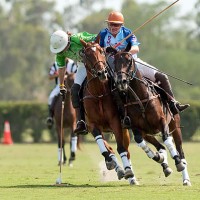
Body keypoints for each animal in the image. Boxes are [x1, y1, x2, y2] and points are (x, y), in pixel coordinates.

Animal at [79, 39, 138, 184]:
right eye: (87, 55)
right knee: (109, 148)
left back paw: (131, 176)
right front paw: (111, 163)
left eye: (101, 51)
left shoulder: (115, 121)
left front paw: (128, 172)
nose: (102, 72)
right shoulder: (92, 125)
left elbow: (121, 148)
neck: (98, 93)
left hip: (124, 129)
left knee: (127, 150)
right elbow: (105, 148)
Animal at [111, 49, 191, 186]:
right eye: (114, 62)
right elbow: (140, 142)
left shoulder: (162, 122)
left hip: (175, 126)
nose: (121, 82)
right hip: (148, 132)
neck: (140, 98)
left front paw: (177, 162)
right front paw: (159, 157)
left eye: (129, 60)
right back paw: (163, 161)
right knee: (159, 146)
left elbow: (167, 140)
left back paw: (185, 179)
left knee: (180, 150)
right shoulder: (135, 127)